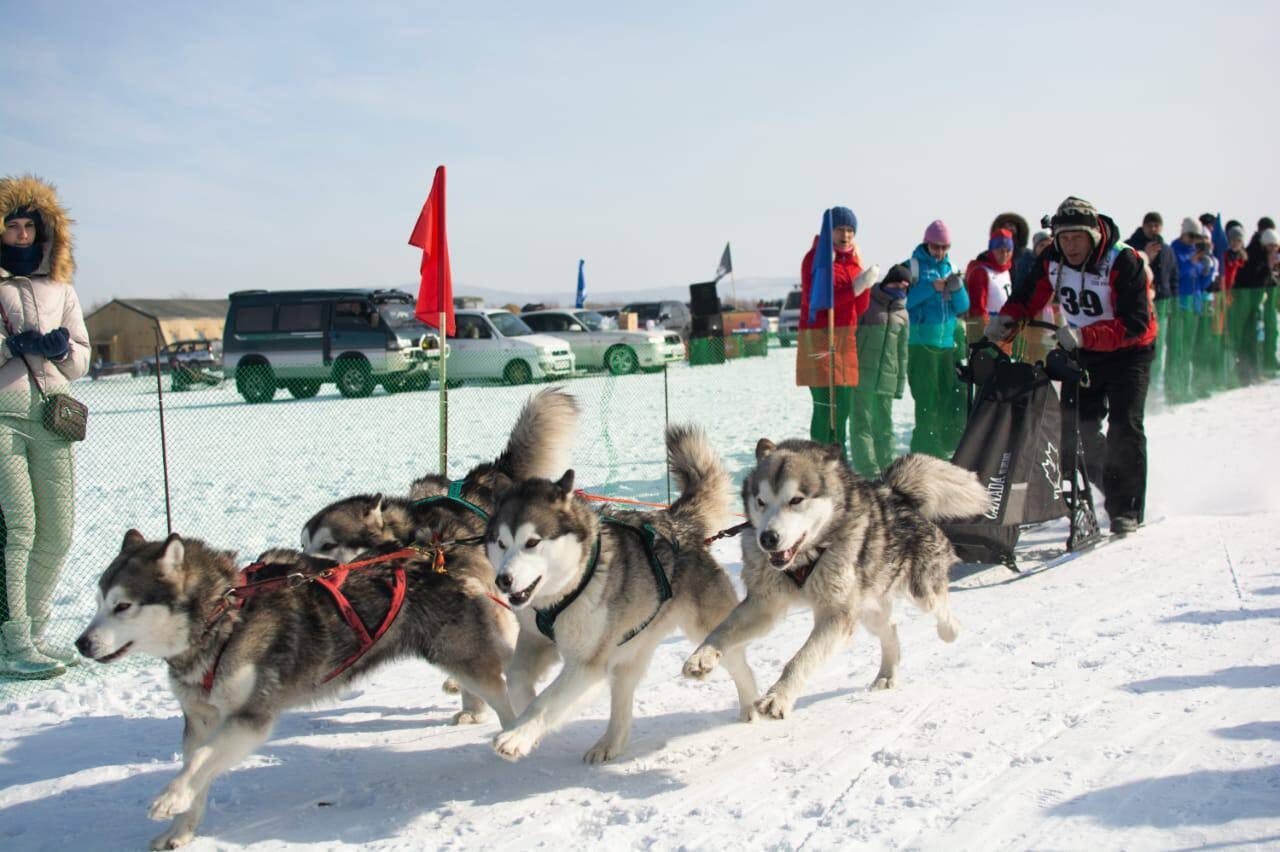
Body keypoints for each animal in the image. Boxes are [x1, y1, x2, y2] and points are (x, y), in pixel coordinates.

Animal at [74, 534, 512, 844]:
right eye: (98, 601)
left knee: (505, 697)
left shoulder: (250, 718)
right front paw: (180, 828)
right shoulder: (199, 721)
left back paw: (513, 736)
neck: (223, 619)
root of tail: (441, 553)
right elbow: (197, 767)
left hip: (464, 657)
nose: (82, 643)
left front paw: (169, 797)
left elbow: (200, 762)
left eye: (123, 606)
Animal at [296, 388, 578, 721]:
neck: (418, 541)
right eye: (303, 545)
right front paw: (470, 704)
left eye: (328, 545)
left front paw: (472, 703)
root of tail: (483, 475)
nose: (300, 571)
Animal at [483, 424, 752, 762]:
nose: (503, 580)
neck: (572, 584)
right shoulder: (535, 639)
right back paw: (609, 743)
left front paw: (517, 735)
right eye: (501, 543)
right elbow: (517, 678)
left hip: (704, 628)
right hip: (629, 653)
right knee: (622, 702)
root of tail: (677, 521)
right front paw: (521, 715)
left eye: (532, 542)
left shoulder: (586, 665)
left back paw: (752, 705)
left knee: (741, 665)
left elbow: (547, 701)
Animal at [680, 445, 988, 716]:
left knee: (939, 608)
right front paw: (702, 655)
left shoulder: (836, 616)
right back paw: (887, 673)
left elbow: (801, 660)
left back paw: (951, 630)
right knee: (890, 629)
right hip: (868, 610)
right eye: (761, 502)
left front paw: (778, 697)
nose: (767, 538)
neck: (806, 557)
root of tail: (895, 492)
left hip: (919, 590)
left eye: (796, 500)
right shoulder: (764, 606)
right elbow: (722, 630)